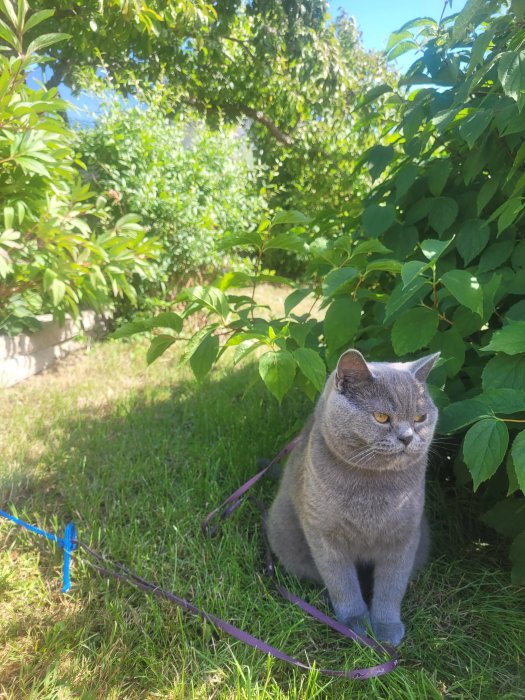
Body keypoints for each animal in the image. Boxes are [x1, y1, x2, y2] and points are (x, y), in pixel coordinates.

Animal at [266, 348, 438, 644]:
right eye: (381, 417)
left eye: (419, 419)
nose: (407, 437)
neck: (373, 487)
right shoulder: (324, 535)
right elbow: (342, 582)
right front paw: (355, 624)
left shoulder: (404, 535)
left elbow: (392, 586)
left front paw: (386, 629)